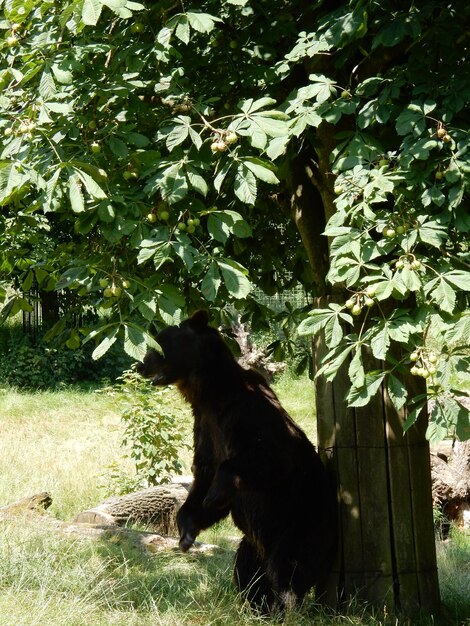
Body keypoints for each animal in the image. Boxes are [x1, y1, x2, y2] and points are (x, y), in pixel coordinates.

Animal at [138, 310, 336, 612]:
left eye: (159, 343)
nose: (140, 365)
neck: (209, 393)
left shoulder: (248, 414)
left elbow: (265, 458)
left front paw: (214, 496)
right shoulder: (205, 425)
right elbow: (203, 471)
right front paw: (187, 532)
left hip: (301, 523)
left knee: (289, 567)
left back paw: (286, 607)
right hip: (253, 543)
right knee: (247, 571)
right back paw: (256, 607)